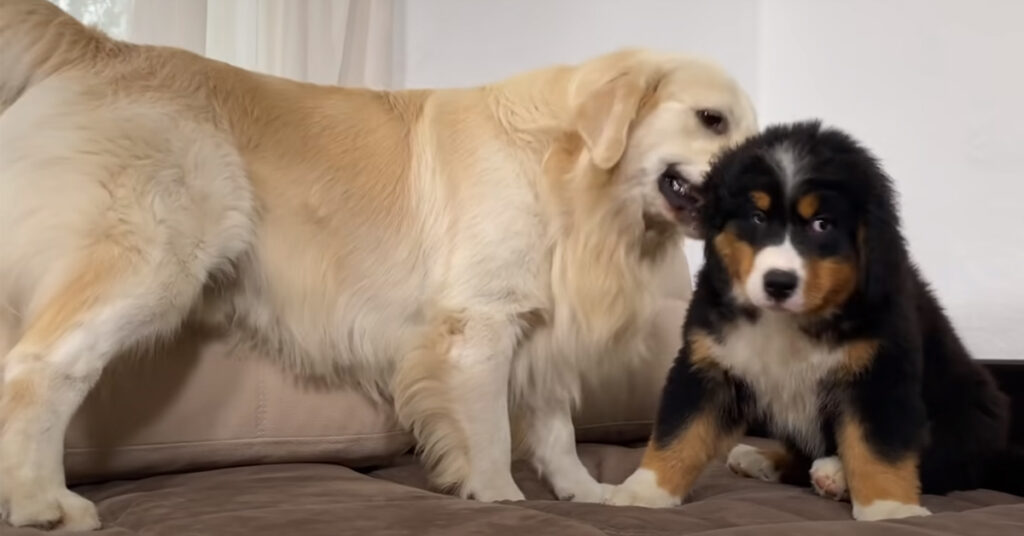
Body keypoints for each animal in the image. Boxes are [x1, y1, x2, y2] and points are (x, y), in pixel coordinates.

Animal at [0, 0, 753, 528]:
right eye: (711, 119)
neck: (572, 173)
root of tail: (103, 49)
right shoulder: (479, 327)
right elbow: (488, 433)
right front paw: (500, 501)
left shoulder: (538, 323)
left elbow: (556, 430)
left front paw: (586, 492)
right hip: (149, 263)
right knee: (38, 369)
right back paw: (42, 502)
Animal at [602, 120, 1019, 520]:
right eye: (757, 217)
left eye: (822, 224)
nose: (779, 283)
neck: (787, 322)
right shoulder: (710, 365)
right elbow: (680, 432)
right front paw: (643, 492)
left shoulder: (878, 373)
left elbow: (878, 448)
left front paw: (890, 509)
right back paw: (761, 459)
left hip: (966, 418)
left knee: (937, 463)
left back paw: (834, 474)